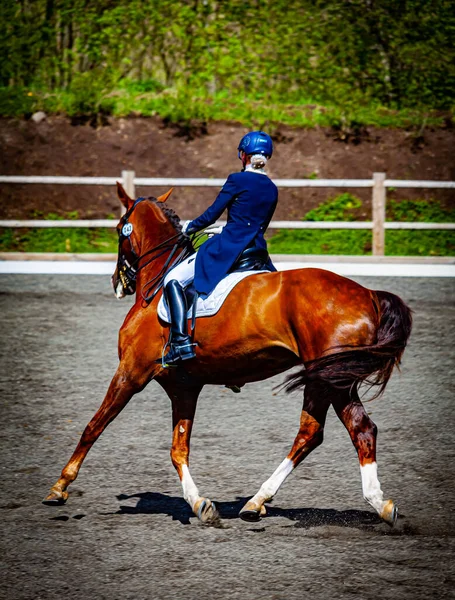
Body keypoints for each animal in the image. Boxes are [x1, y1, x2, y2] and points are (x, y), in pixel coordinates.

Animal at [42, 185, 414, 528]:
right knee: (333, 431)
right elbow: (178, 449)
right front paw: (200, 505)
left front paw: (59, 487)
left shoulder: (131, 371)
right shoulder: (183, 386)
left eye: (120, 227)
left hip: (330, 376)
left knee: (341, 430)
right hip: (330, 377)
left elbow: (94, 426)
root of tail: (369, 294)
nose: (118, 284)